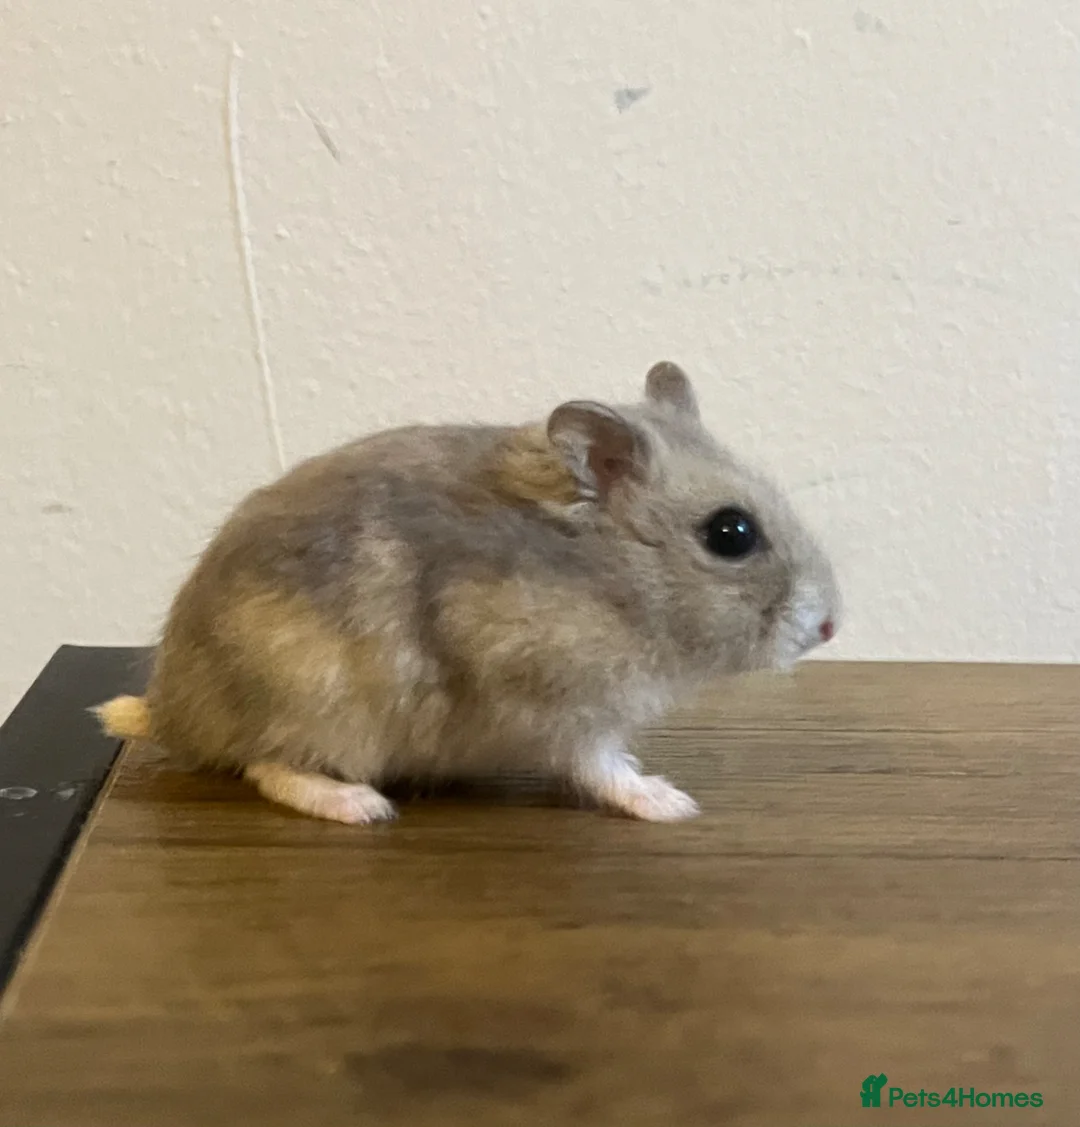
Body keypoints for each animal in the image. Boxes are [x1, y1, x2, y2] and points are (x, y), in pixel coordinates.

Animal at [96, 362, 839, 824]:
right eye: (731, 533)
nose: (830, 625)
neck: (613, 583)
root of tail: (168, 715)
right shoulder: (556, 703)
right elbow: (601, 767)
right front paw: (673, 802)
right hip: (309, 698)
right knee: (266, 766)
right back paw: (362, 807)